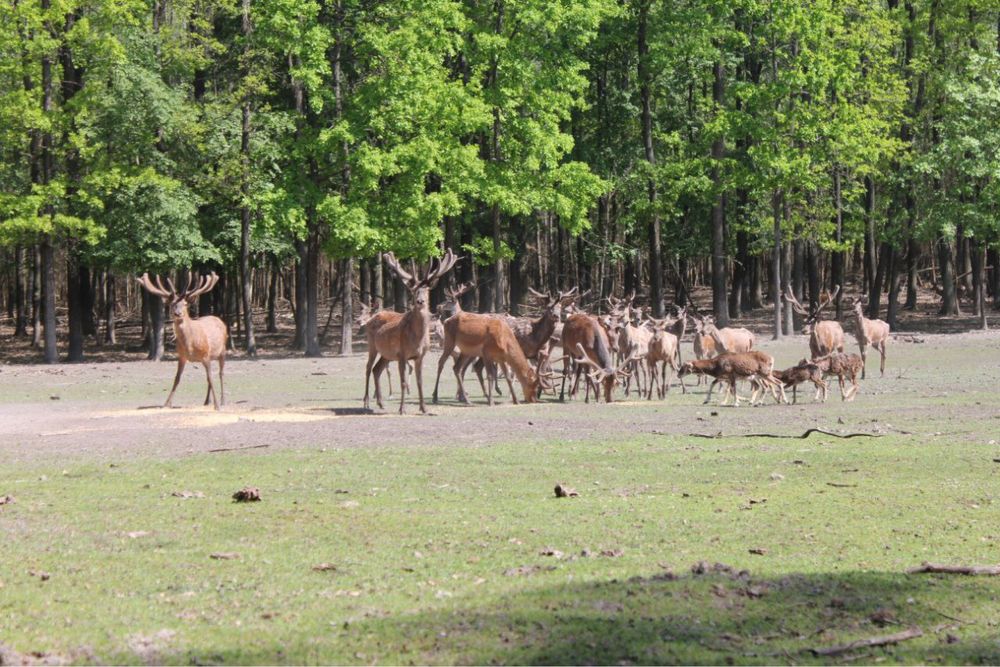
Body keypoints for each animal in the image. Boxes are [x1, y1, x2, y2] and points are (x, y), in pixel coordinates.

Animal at [137, 272, 227, 410]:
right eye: (172, 304)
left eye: (185, 304)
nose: (178, 313)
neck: (190, 344)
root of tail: (219, 319)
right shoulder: (182, 356)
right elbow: (177, 378)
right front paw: (166, 404)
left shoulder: (205, 355)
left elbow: (211, 378)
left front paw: (217, 406)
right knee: (208, 377)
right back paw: (207, 401)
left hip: (222, 351)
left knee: (221, 373)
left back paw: (222, 400)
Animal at [364, 249, 458, 414]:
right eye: (414, 291)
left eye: (426, 290)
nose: (420, 301)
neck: (417, 339)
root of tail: (371, 318)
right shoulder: (401, 354)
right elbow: (402, 382)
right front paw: (402, 409)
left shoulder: (420, 355)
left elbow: (419, 381)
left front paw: (424, 408)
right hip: (372, 345)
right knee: (368, 368)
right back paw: (366, 403)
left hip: (386, 354)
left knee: (377, 370)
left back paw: (381, 403)